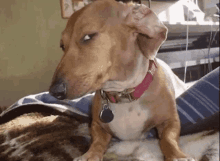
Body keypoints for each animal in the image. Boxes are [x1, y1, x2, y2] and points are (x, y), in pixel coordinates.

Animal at [49, 0, 194, 160]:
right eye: (62, 46)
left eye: (88, 37)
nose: (54, 91)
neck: (123, 94)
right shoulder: (96, 125)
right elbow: (97, 141)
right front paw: (89, 154)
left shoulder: (170, 121)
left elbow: (168, 139)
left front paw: (177, 155)